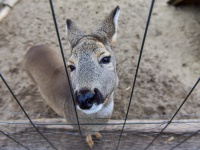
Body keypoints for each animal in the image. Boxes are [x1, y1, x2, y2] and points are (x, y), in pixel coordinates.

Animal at [23, 6, 120, 149]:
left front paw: (98, 136)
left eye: (106, 58)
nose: (84, 98)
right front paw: (91, 143)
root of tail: (30, 48)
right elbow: (87, 135)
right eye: (71, 66)